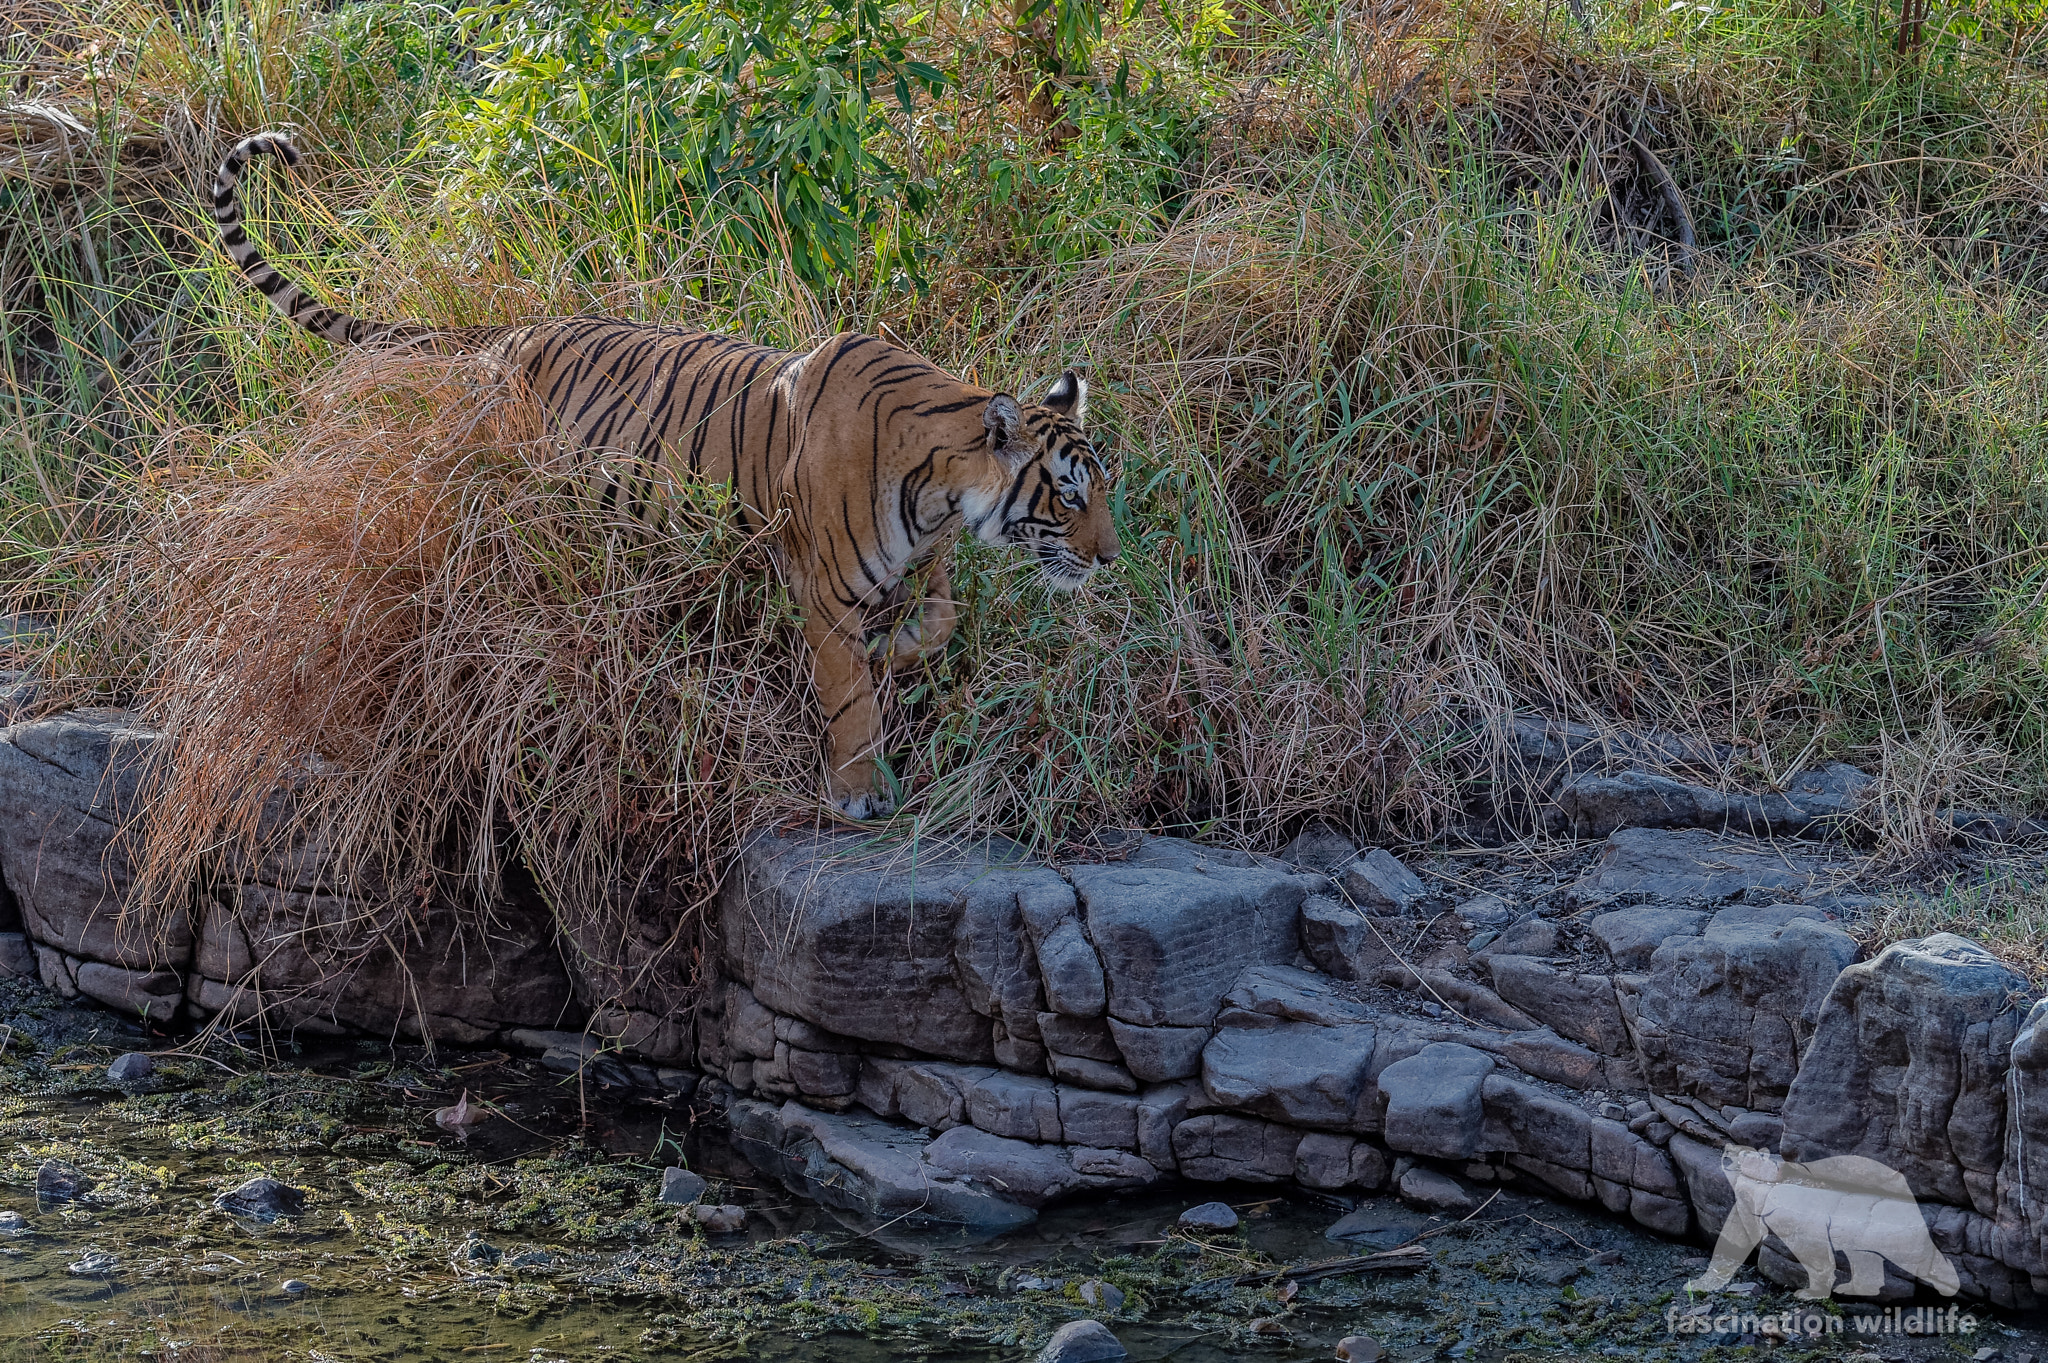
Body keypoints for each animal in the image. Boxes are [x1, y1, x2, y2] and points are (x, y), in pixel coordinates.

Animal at [212, 133, 1119, 819]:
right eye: (1070, 493)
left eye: (1103, 488)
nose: (1111, 558)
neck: (943, 490)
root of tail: (508, 333)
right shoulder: (822, 588)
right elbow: (848, 695)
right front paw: (859, 788)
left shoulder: (925, 561)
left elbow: (939, 623)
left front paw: (895, 650)